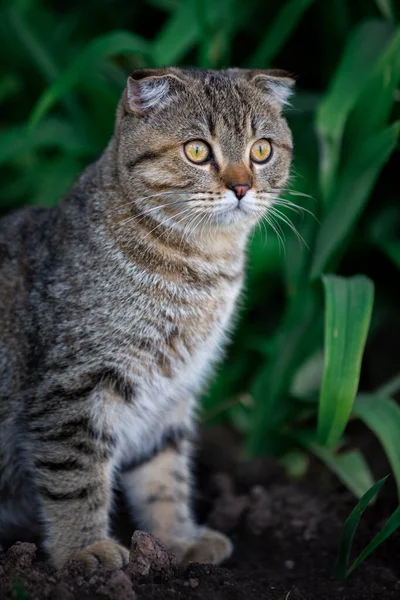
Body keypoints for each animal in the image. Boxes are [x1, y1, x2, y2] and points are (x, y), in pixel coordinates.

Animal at [0, 68, 294, 568]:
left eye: (261, 150)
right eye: (197, 150)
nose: (241, 187)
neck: (201, 271)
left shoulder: (172, 390)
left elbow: (164, 476)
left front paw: (177, 538)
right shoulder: (73, 390)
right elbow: (76, 478)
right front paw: (84, 549)